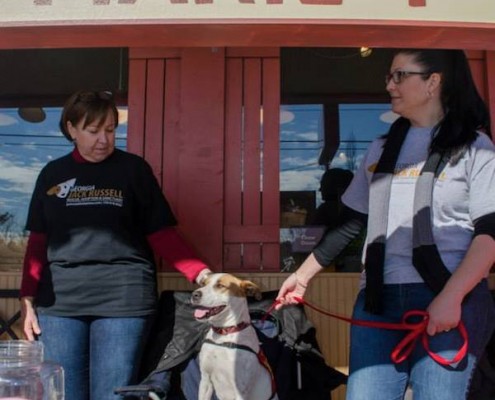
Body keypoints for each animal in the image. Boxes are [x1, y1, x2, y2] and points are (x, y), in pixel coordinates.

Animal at [191, 272, 278, 400]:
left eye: (220, 285)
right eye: (203, 284)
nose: (194, 294)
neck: (224, 333)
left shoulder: (239, 391)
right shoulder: (205, 380)